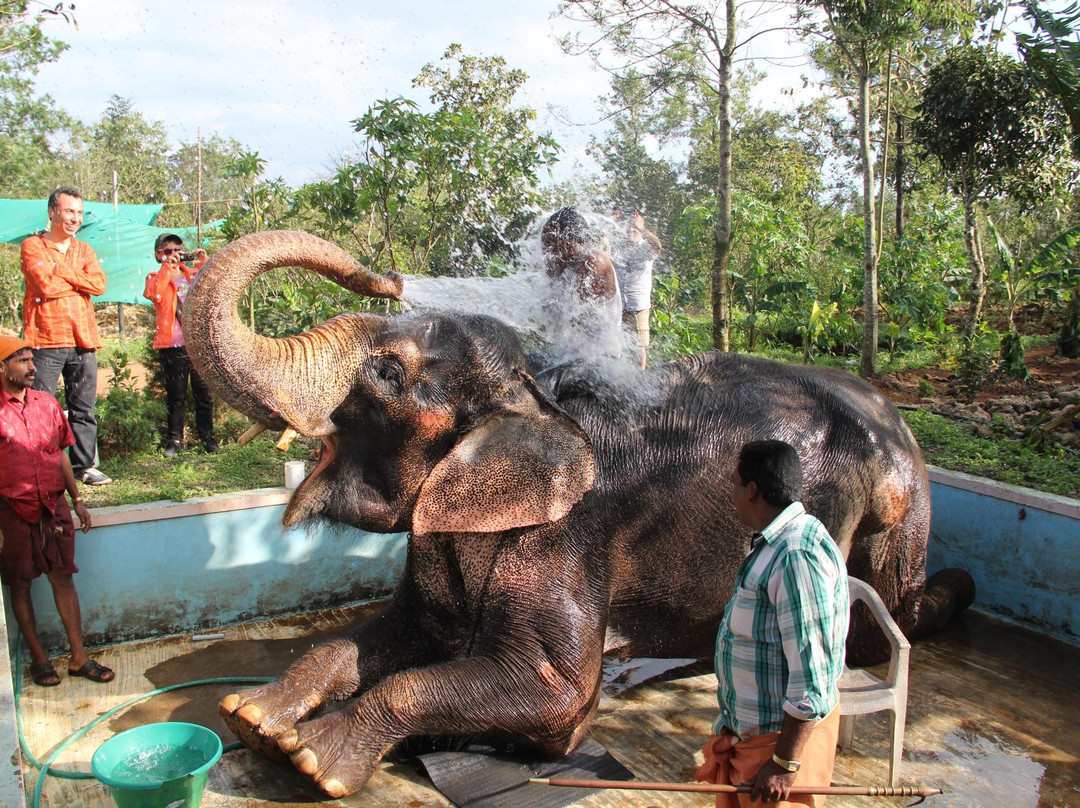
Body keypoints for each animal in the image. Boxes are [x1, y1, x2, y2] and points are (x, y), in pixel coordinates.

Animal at [181, 230, 976, 799]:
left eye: (388, 372)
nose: (388, 277)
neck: (529, 395)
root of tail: (904, 434)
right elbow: (379, 638)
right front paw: (256, 718)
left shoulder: (568, 540)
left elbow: (555, 695)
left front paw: (315, 759)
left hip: (864, 516)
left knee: (872, 631)